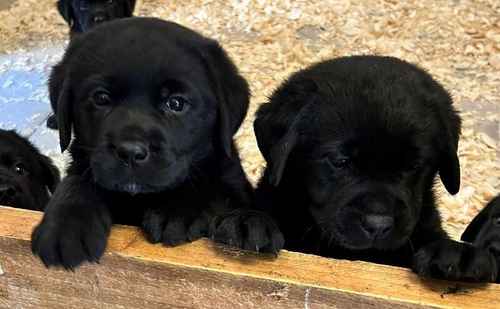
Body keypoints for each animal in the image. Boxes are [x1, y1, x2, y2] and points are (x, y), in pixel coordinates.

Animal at [30, 16, 282, 268]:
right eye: (101, 98)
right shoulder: (84, 164)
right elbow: (76, 182)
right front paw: (66, 225)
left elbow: (211, 190)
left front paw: (181, 212)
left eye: (176, 103)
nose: (130, 152)